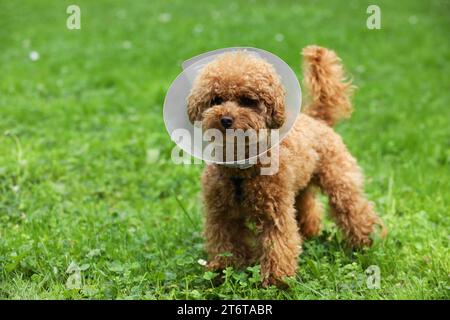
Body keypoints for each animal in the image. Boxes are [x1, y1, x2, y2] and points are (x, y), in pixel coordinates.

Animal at [186, 45, 386, 288]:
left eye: (247, 100)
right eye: (216, 99)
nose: (225, 119)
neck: (241, 166)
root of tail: (317, 119)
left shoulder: (274, 213)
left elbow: (278, 246)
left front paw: (275, 281)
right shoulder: (221, 214)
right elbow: (224, 245)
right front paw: (223, 272)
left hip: (338, 179)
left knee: (354, 209)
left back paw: (364, 242)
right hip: (299, 187)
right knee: (308, 207)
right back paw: (310, 233)